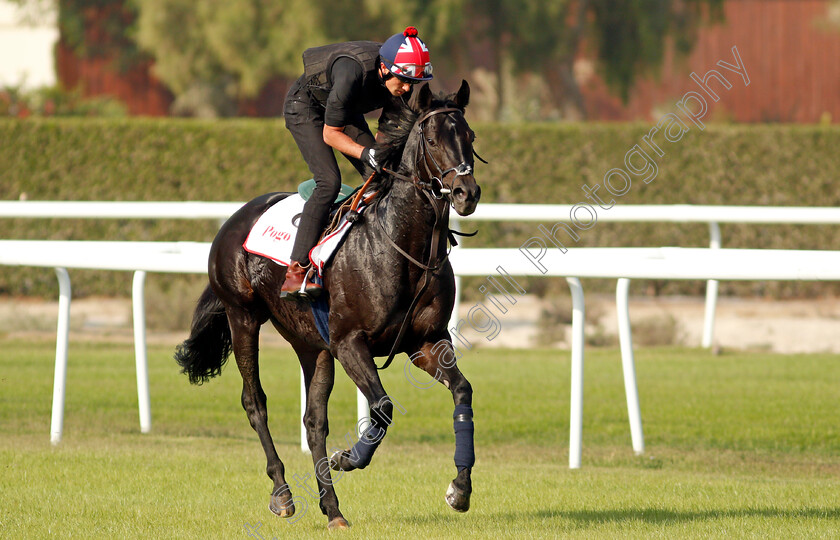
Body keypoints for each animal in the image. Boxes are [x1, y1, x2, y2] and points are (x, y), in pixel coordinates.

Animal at [174, 79, 482, 528]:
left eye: (470, 137)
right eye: (431, 139)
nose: (466, 192)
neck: (404, 248)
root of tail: (235, 219)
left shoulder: (427, 342)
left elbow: (462, 391)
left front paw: (459, 488)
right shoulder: (349, 342)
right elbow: (383, 407)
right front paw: (349, 457)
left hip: (310, 344)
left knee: (313, 420)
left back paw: (332, 508)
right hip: (242, 315)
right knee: (255, 402)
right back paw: (283, 493)